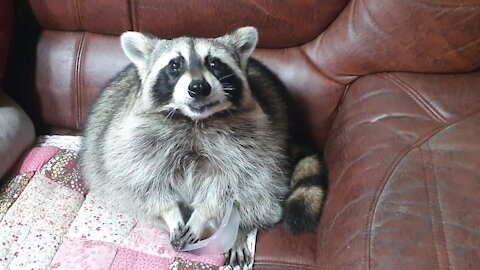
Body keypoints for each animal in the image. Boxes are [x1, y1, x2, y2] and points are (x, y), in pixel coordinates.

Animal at [79, 26, 326, 268]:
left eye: (215, 63)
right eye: (175, 64)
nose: (199, 87)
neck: (194, 120)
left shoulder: (250, 143)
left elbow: (231, 185)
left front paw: (204, 214)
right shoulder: (135, 140)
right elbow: (144, 182)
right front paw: (170, 211)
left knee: (259, 195)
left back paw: (238, 231)